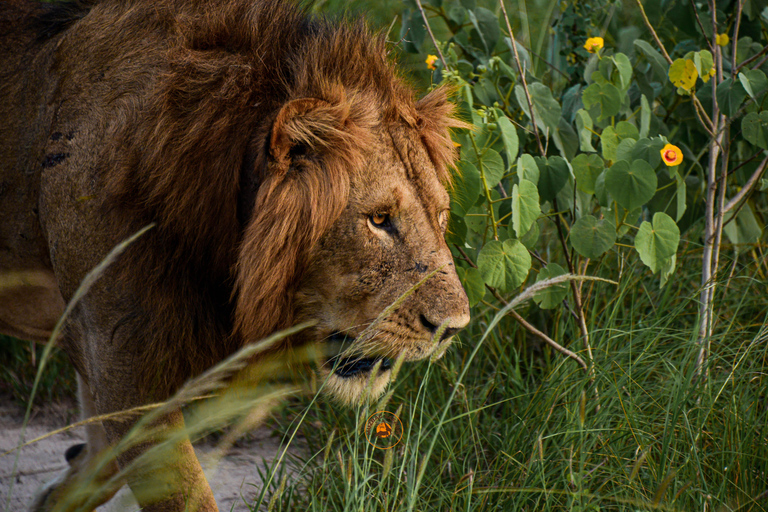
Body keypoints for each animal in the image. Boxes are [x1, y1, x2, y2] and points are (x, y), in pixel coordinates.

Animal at [0, 0, 472, 510]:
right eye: (379, 219)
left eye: (441, 216)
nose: (453, 329)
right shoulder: (123, 366)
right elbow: (182, 491)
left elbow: (103, 459)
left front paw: (57, 492)